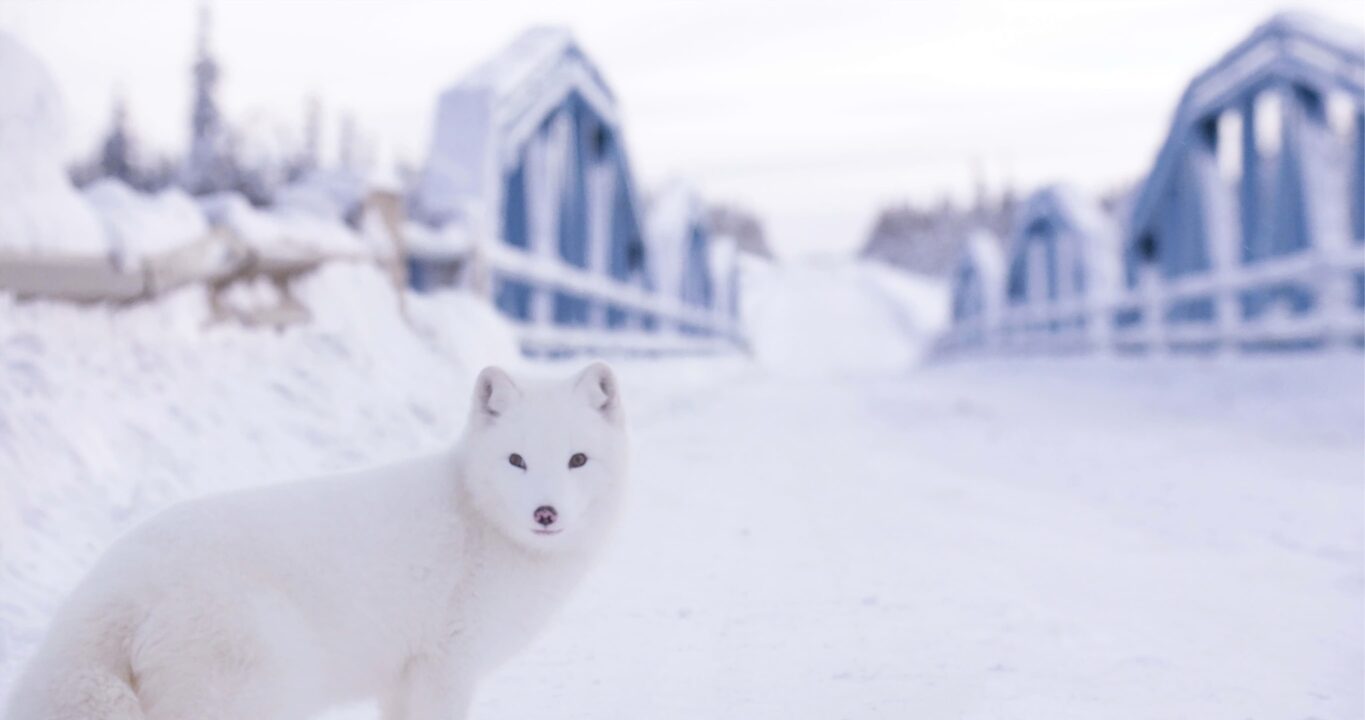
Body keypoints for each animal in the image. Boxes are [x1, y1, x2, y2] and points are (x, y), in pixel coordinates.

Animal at [0, 363, 625, 715]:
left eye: (577, 460)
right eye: (516, 460)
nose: (545, 512)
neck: (480, 522)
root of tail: (116, 588)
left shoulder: (402, 681)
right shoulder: (445, 668)